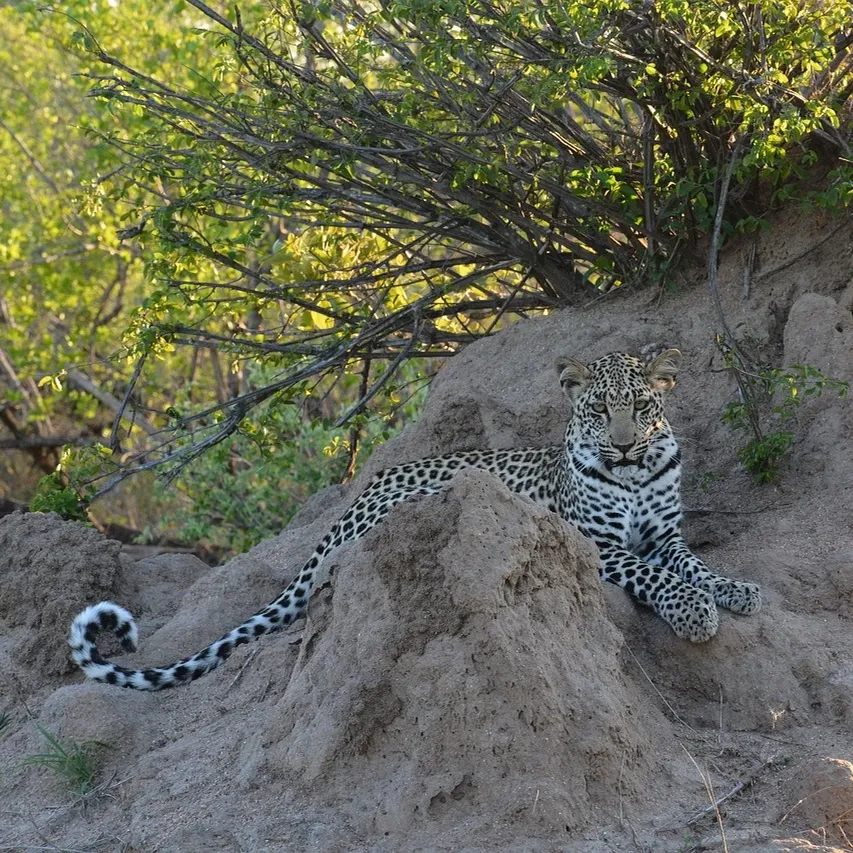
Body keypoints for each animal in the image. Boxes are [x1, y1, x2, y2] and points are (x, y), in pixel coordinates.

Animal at [68, 348, 761, 691]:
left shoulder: (666, 533)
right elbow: (657, 577)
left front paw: (736, 590)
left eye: (642, 406)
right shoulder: (595, 544)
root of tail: (357, 496)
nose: (621, 446)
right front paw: (695, 612)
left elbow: (694, 564)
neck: (636, 475)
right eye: (597, 410)